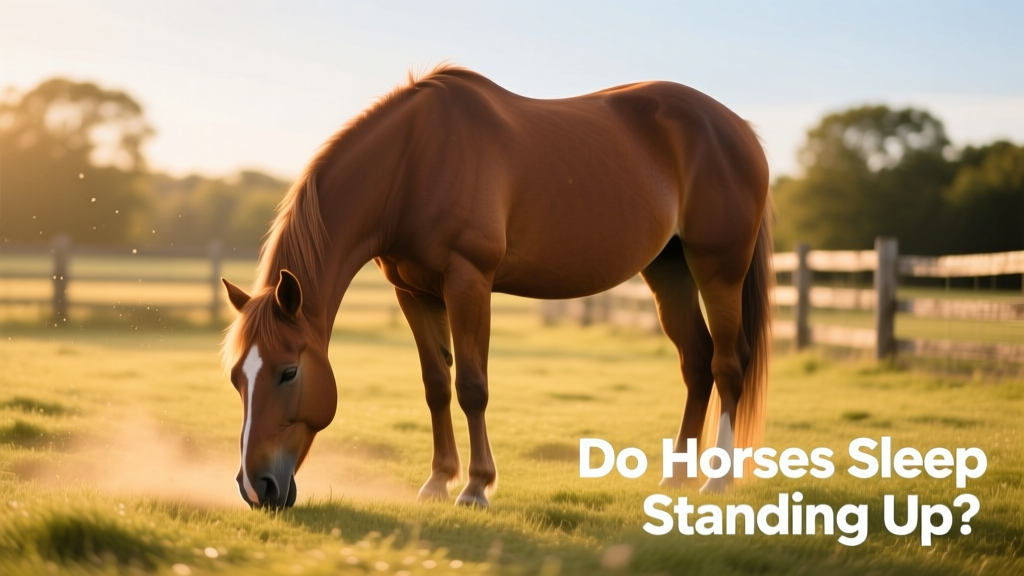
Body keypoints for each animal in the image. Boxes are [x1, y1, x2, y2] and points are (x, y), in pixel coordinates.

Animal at [221, 65, 772, 509]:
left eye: (289, 372)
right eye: (236, 378)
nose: (255, 488)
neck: (413, 161)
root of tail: (738, 129)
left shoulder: (469, 280)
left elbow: (472, 386)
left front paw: (475, 487)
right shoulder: (412, 292)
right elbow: (436, 385)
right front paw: (437, 481)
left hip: (718, 268)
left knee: (727, 364)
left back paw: (716, 481)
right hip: (668, 269)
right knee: (696, 362)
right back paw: (676, 478)